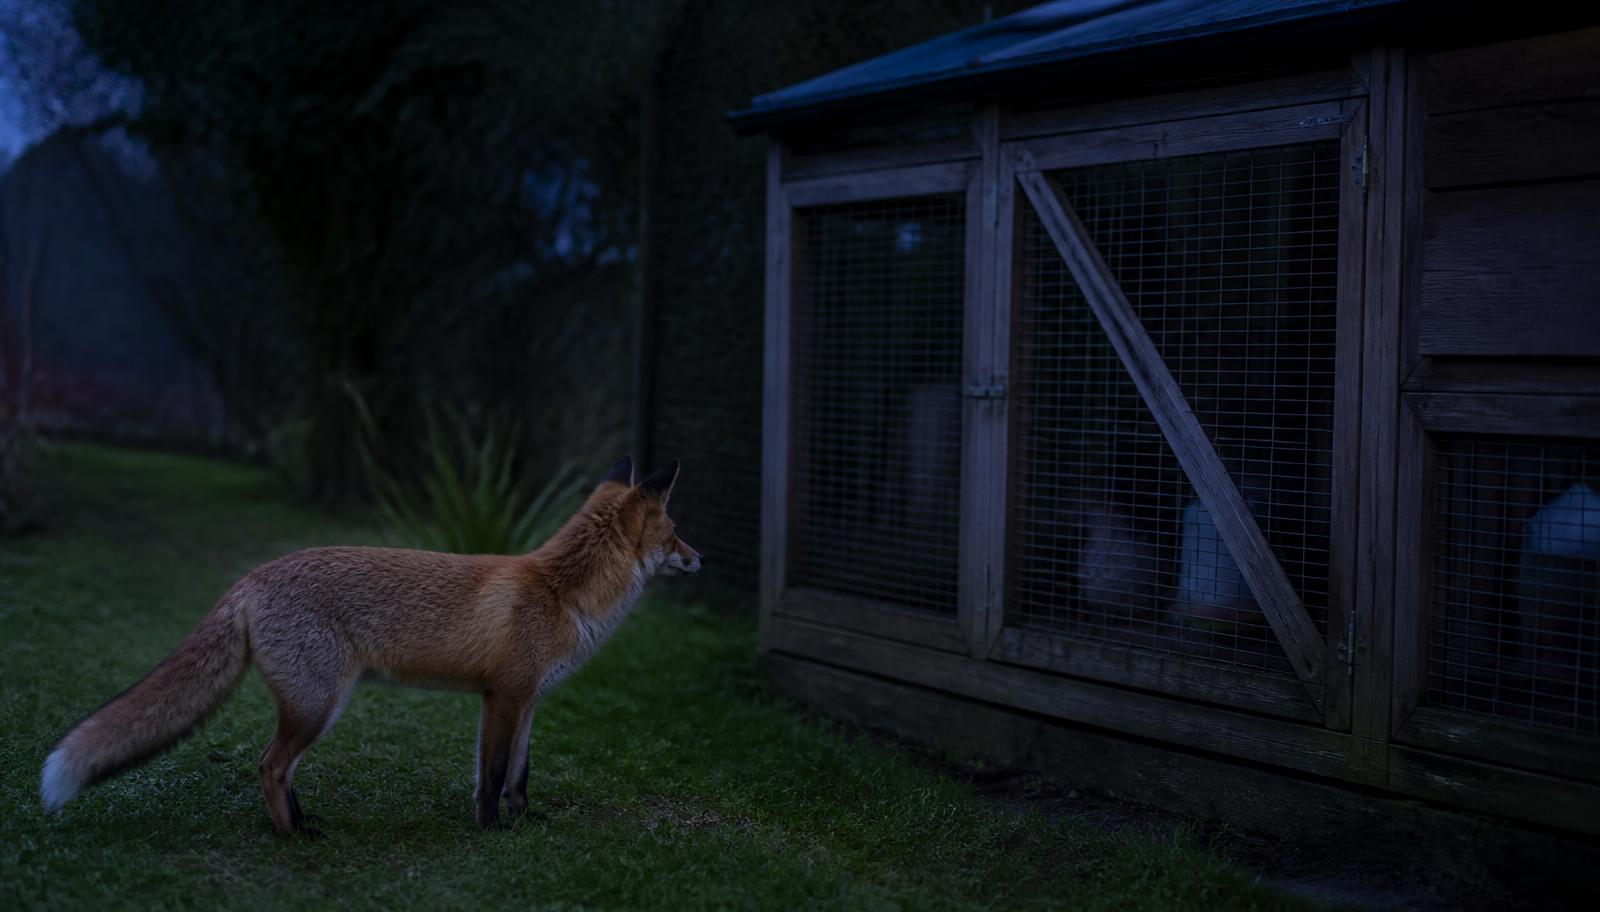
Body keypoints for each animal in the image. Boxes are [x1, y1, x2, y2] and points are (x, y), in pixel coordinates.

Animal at [39, 456, 701, 834]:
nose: (700, 559)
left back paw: (303, 817)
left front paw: (525, 820)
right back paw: (291, 834)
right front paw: (490, 829)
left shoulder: (530, 700)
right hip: (318, 705)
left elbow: (520, 773)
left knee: (280, 768)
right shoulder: (502, 697)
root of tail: (251, 579)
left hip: (314, 705)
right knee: (269, 764)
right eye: (675, 533)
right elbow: (489, 774)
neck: (561, 593)